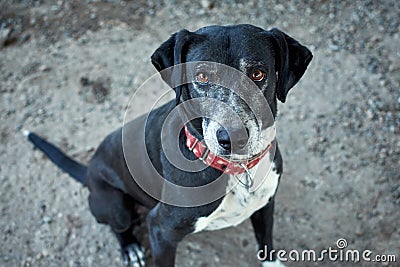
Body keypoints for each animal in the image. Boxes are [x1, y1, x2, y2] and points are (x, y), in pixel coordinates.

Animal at [25, 24, 312, 266]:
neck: (237, 170)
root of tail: (88, 170)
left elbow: (267, 245)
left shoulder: (265, 205)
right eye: (202, 76)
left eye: (258, 73)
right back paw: (130, 248)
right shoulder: (161, 231)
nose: (233, 138)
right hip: (113, 204)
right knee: (118, 226)